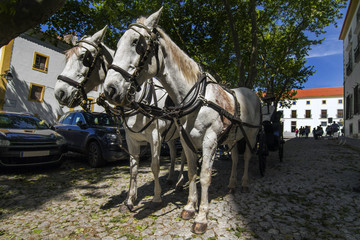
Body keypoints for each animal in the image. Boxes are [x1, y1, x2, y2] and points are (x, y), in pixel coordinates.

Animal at [54, 26, 187, 210]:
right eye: (67, 57)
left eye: (84, 58)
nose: (59, 92)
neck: (137, 98)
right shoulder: (132, 139)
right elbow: (133, 167)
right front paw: (130, 200)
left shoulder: (155, 137)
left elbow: (154, 166)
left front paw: (156, 197)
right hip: (169, 135)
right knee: (174, 153)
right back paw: (170, 178)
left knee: (185, 156)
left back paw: (180, 181)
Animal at [102, 8, 260, 233]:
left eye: (137, 43)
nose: (110, 89)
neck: (198, 98)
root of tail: (251, 93)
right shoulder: (186, 141)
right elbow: (192, 171)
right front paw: (189, 207)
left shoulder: (210, 140)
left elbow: (205, 176)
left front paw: (201, 217)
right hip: (232, 138)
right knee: (236, 159)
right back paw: (231, 185)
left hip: (251, 135)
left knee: (246, 157)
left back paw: (244, 183)